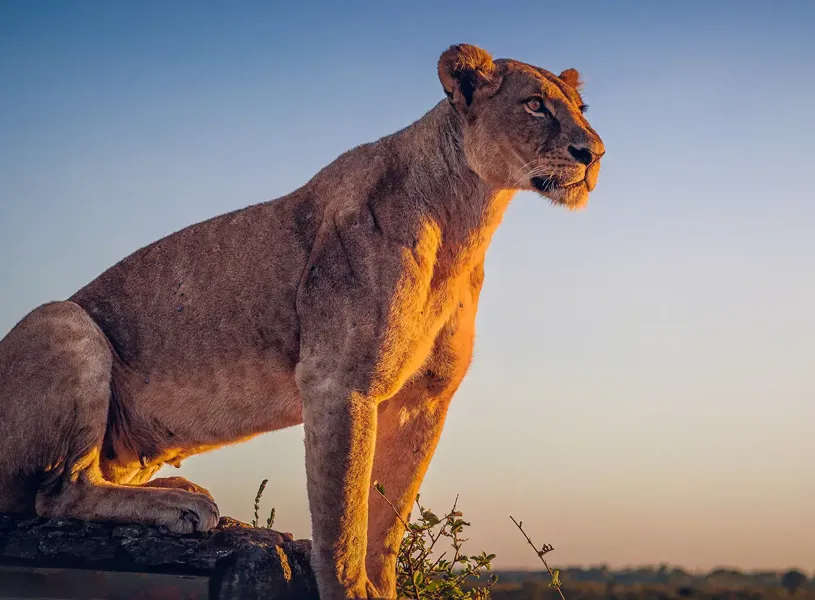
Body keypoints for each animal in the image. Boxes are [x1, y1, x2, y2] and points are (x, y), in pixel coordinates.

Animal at [0, 44, 603, 599]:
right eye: (534, 105)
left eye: (581, 108)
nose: (595, 152)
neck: (466, 220)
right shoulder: (339, 382)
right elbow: (344, 515)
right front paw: (349, 589)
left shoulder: (427, 396)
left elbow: (388, 519)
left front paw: (380, 585)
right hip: (64, 319)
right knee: (58, 491)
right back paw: (178, 505)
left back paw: (182, 489)